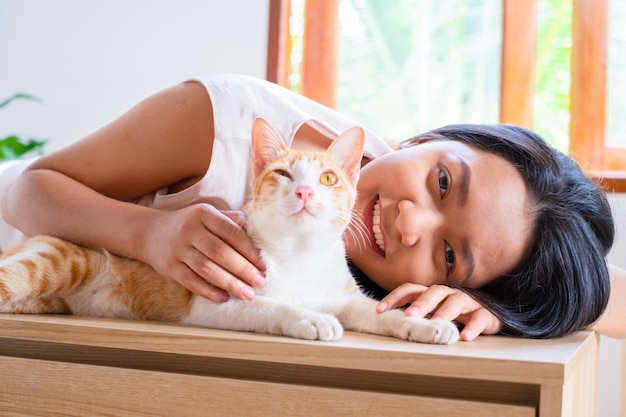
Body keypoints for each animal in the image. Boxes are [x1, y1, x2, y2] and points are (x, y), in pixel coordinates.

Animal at [0, 118, 458, 344]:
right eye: (284, 174)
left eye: (328, 178)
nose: (306, 191)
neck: (299, 256)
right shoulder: (215, 303)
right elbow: (273, 307)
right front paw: (309, 319)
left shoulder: (345, 300)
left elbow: (379, 312)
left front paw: (426, 324)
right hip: (53, 264)